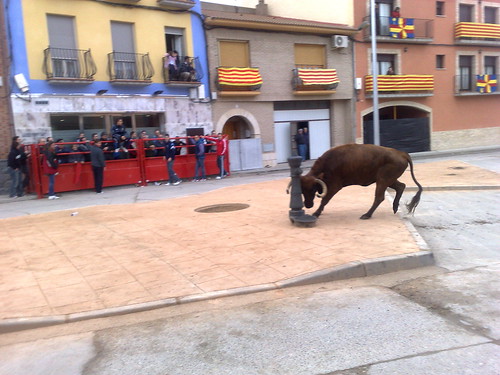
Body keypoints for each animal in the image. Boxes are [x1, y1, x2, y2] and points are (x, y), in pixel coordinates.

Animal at [294, 144, 424, 220]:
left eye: (312, 189)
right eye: (302, 190)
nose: (308, 205)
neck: (326, 166)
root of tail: (402, 153)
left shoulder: (335, 186)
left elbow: (324, 200)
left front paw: (316, 213)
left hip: (382, 181)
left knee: (379, 197)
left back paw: (366, 215)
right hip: (387, 180)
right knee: (401, 186)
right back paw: (394, 207)